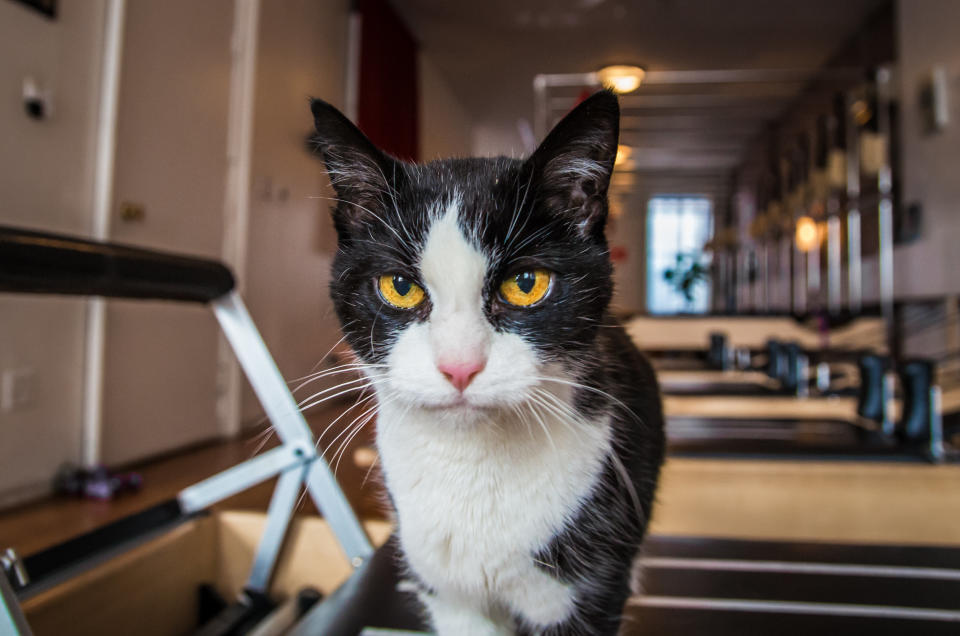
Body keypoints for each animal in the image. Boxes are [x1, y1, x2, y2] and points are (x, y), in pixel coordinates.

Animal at [312, 90, 664, 636]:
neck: (472, 464)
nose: (460, 366)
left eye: (526, 283)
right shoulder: (449, 594)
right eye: (399, 286)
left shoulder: (589, 588)